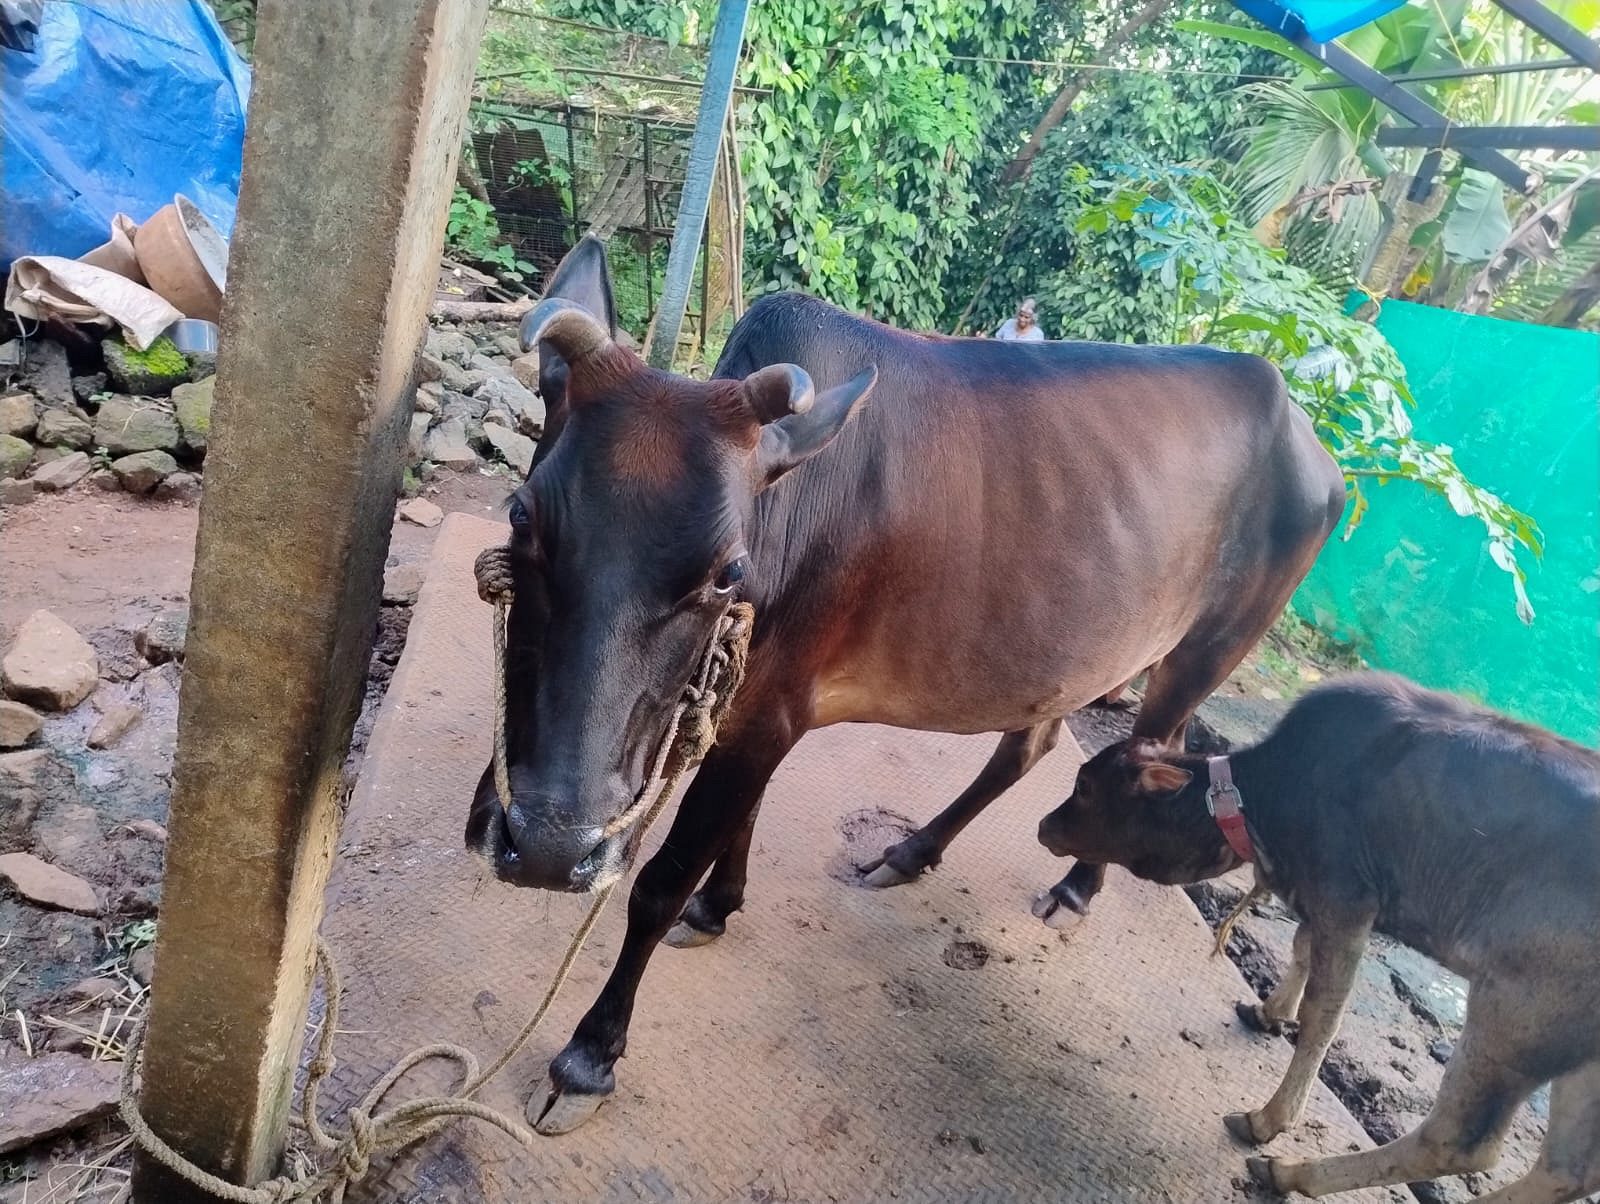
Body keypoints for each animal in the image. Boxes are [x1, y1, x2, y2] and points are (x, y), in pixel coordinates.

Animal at [464, 236, 1347, 1134]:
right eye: (523, 516)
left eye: (727, 572)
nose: (550, 844)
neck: (785, 514)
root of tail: (1307, 436)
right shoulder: (759, 708)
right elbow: (738, 823)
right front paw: (720, 906)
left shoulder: (769, 712)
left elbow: (660, 883)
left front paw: (588, 1058)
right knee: (1034, 741)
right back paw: (911, 851)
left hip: (1207, 649)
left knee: (1151, 749)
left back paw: (1074, 885)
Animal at [1037, 674, 1600, 1202]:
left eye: (1086, 786)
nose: (1043, 826)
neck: (1261, 800)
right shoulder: (1322, 900)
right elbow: (1300, 948)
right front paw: (1269, 1010)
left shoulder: (1345, 895)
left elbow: (1323, 1014)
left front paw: (1274, 1117)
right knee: (1566, 1171)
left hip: (1517, 1012)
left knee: (1461, 1141)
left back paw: (1290, 1166)